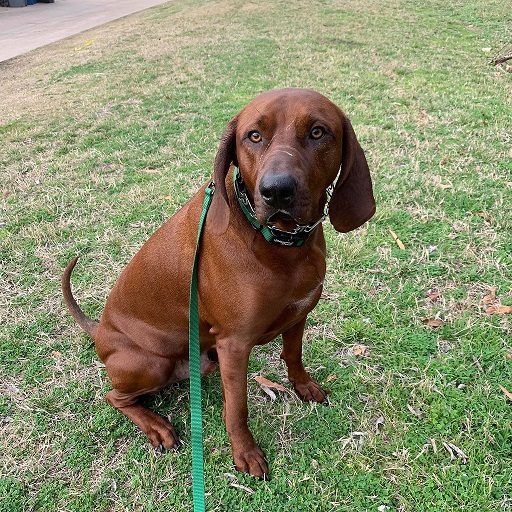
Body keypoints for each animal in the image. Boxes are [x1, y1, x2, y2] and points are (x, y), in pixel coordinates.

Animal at [63, 89, 376, 480]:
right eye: (253, 135)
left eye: (318, 132)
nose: (276, 191)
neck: (279, 244)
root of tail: (99, 330)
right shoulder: (235, 343)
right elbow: (239, 407)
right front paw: (245, 452)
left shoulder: (297, 315)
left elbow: (292, 355)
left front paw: (302, 385)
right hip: (150, 364)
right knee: (114, 397)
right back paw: (156, 426)